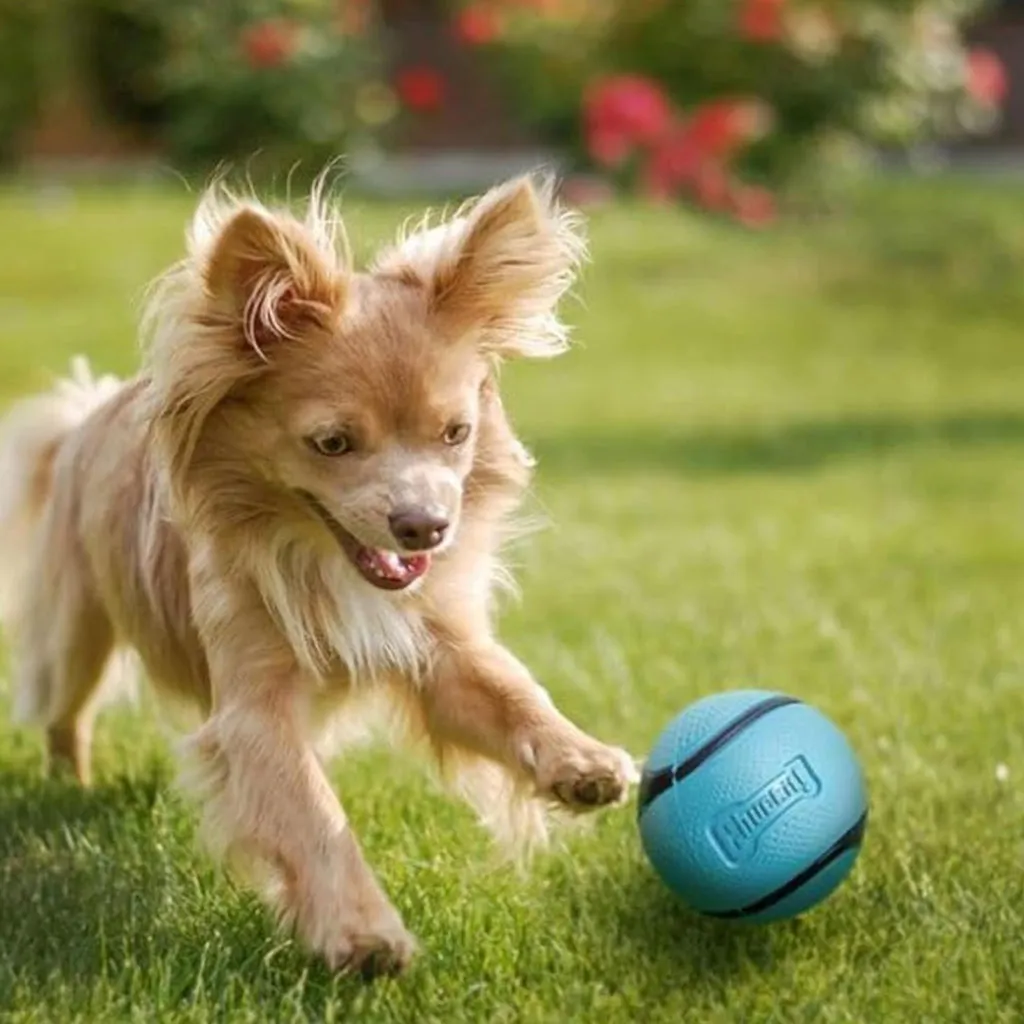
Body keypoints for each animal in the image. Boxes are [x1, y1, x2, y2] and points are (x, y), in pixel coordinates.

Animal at [0, 174, 634, 974]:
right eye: (332, 443)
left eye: (456, 434)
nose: (426, 525)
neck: (320, 560)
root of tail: (86, 413)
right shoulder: (254, 711)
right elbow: (310, 813)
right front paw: (362, 933)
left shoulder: (441, 648)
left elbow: (510, 692)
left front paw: (579, 759)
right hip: (77, 624)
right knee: (65, 710)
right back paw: (70, 786)